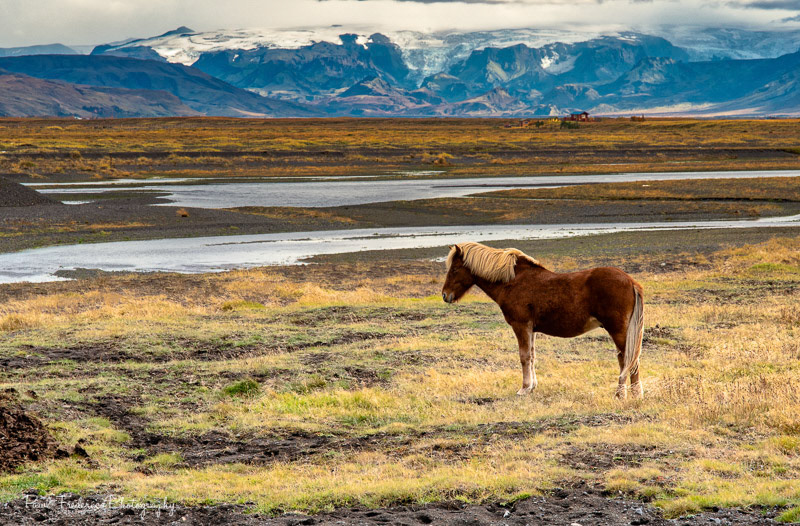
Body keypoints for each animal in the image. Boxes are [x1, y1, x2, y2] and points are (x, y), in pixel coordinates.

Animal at [441, 242, 644, 398]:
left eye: (455, 269)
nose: (445, 295)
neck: (512, 282)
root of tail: (630, 281)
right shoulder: (531, 329)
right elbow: (531, 356)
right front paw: (532, 386)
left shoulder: (521, 326)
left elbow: (524, 356)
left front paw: (524, 389)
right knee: (627, 358)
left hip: (617, 330)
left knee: (627, 358)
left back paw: (624, 394)